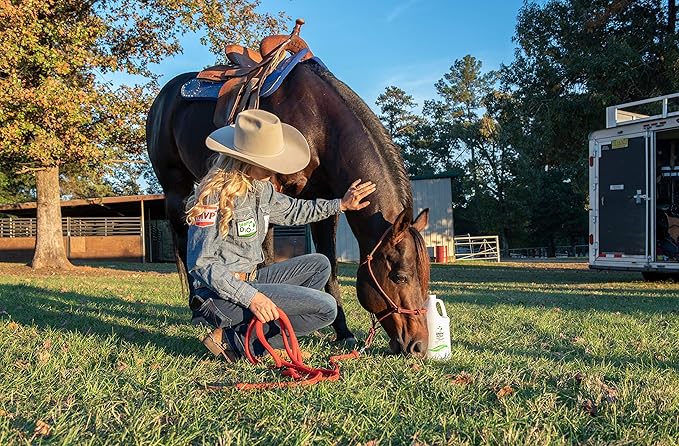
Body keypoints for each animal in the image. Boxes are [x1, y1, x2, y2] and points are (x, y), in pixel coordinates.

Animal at [145, 57, 430, 356]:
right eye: (400, 277)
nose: (418, 346)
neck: (321, 126)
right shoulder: (271, 191)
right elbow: (266, 258)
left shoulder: (323, 201)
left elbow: (330, 265)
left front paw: (343, 332)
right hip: (175, 188)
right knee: (183, 242)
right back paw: (197, 311)